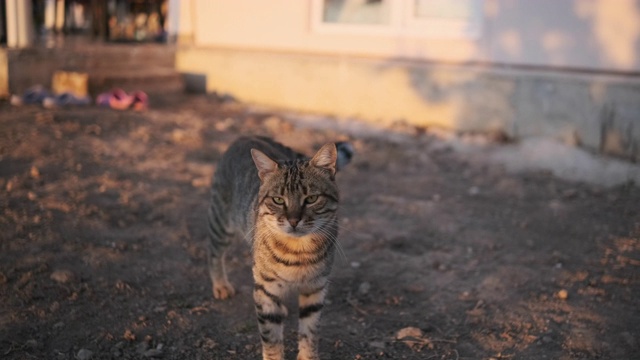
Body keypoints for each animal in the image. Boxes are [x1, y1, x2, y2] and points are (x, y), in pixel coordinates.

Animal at [206, 136, 352, 360]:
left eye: (311, 199)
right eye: (278, 200)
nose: (293, 220)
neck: (299, 250)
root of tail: (246, 136)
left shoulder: (315, 287)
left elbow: (310, 332)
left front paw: (307, 355)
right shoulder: (265, 289)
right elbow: (271, 337)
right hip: (220, 221)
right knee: (214, 252)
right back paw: (221, 284)